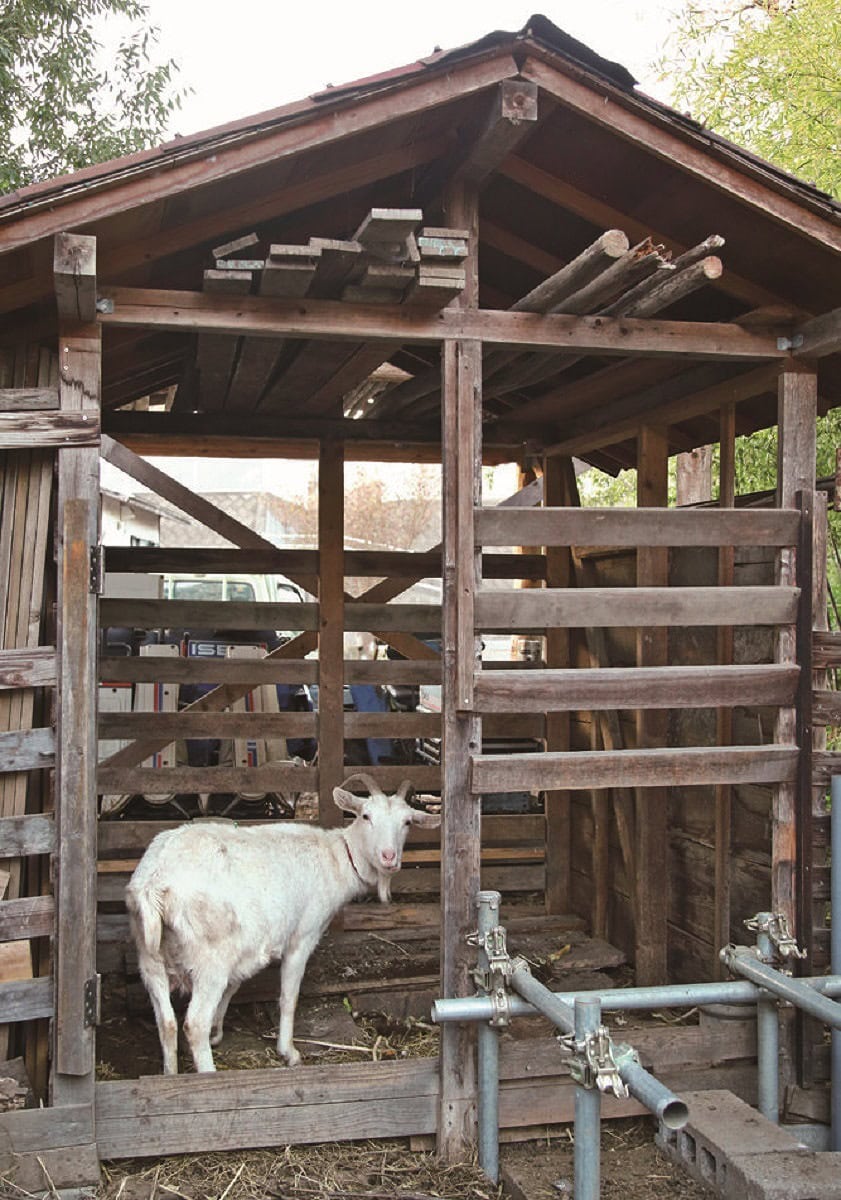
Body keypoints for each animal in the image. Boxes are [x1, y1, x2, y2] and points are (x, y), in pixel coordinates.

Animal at [127, 777, 439, 1080]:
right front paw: (289, 1052)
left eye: (407, 822)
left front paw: (219, 1031)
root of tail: (155, 884)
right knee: (193, 1024)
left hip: (149, 956)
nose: (389, 857)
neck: (337, 857)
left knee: (166, 1022)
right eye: (366, 815)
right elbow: (289, 998)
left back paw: (170, 1074)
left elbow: (233, 986)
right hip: (209, 960)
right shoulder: (303, 936)